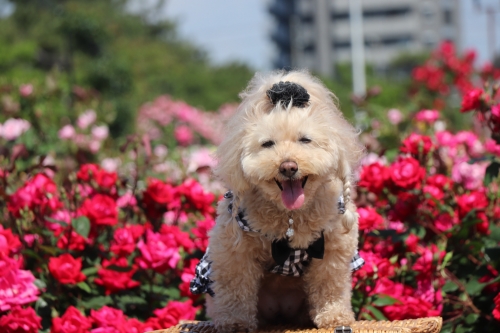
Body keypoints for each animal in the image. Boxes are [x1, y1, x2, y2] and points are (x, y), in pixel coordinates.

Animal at [189, 69, 366, 330]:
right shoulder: (234, 252)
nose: (288, 167)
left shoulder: (333, 249)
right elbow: (235, 288)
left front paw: (335, 317)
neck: (290, 216)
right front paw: (235, 322)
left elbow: (330, 285)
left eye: (305, 140)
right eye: (267, 144)